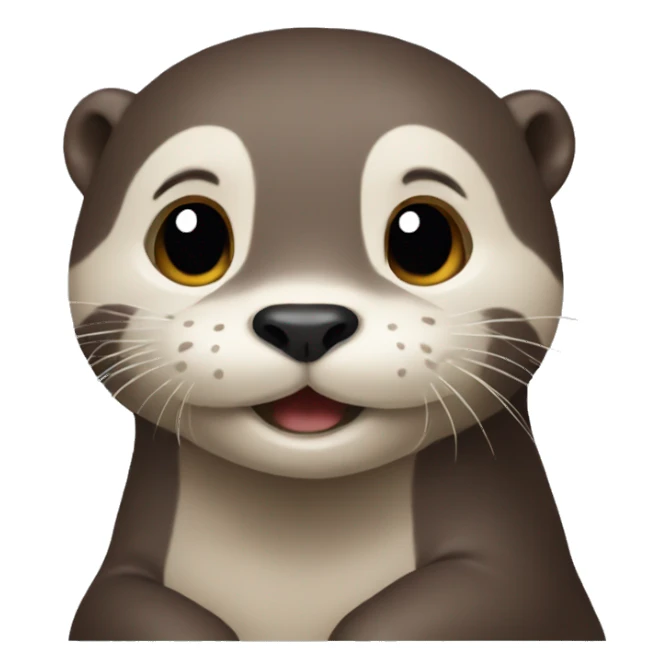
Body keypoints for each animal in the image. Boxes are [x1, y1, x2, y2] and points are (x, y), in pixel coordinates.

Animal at [65, 28, 604, 641]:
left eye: (425, 239)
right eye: (190, 239)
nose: (306, 325)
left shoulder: (523, 572)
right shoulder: (123, 572)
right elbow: (121, 607)